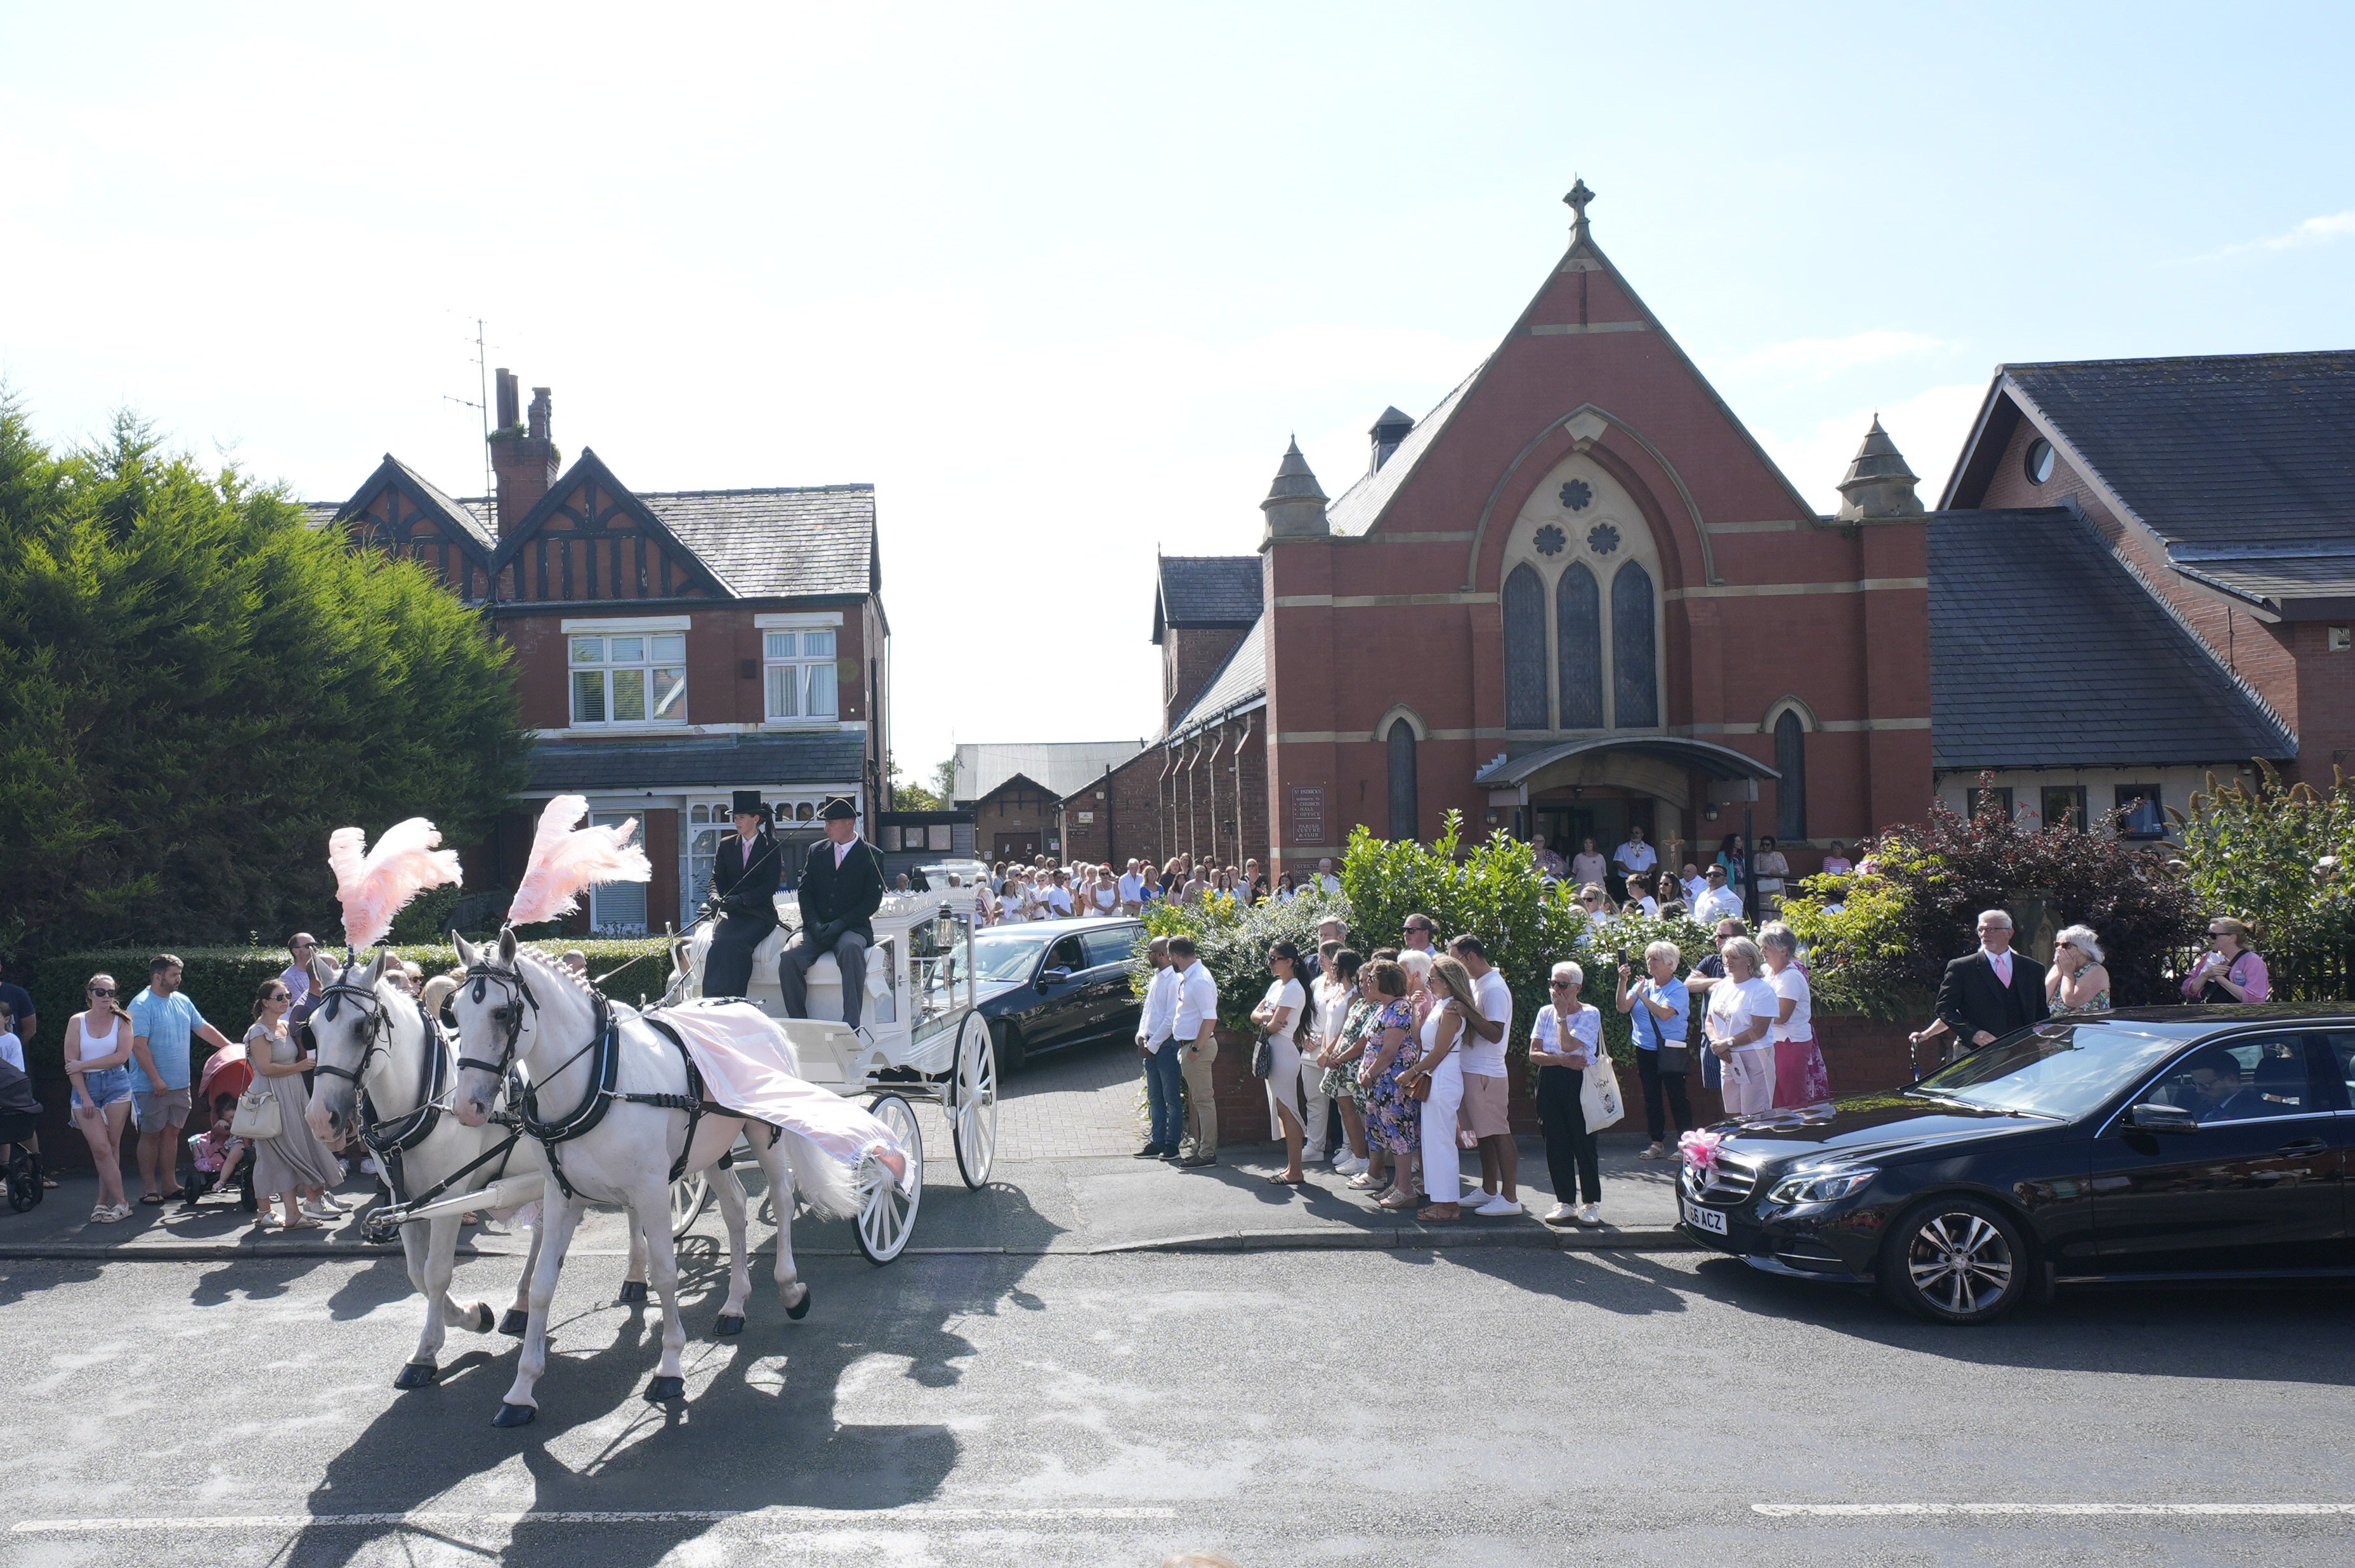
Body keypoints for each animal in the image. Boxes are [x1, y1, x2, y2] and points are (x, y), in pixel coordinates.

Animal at [306, 946, 664, 1384]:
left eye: (361, 1026)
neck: (430, 1095)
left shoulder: (449, 1197)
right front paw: (472, 1316)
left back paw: (635, 1277)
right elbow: (416, 1272)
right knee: (545, 1232)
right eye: (312, 1029)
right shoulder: (403, 1196)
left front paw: (429, 1351)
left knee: (632, 1207)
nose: (320, 1119)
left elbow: (436, 1272)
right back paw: (522, 1304)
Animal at [445, 927, 862, 1431]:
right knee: (736, 1208)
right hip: (713, 1150)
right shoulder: (563, 1196)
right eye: (455, 1013)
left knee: (780, 1200)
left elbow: (665, 1274)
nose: (468, 1108)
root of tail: (759, 1015)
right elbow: (544, 1285)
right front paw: (521, 1391)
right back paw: (734, 1305)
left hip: (765, 1135)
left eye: (502, 1013)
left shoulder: (651, 1191)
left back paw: (790, 1288)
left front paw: (669, 1367)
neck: (600, 1077)